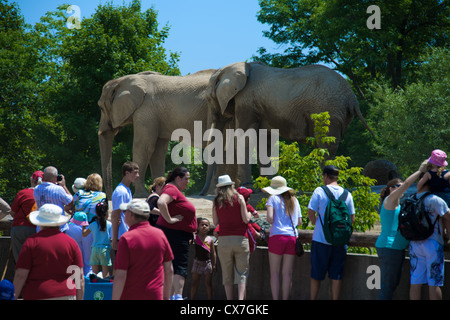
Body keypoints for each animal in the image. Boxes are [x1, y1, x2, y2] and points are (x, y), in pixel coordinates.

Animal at [98, 62, 250, 198]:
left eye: (100, 107)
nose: (109, 197)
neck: (124, 80)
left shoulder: (145, 111)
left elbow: (144, 147)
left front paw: (140, 195)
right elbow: (158, 151)